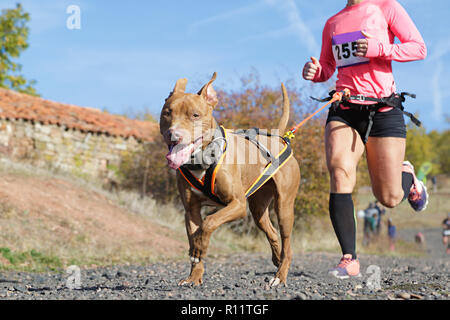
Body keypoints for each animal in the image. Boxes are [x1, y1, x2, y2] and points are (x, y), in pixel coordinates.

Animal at [160, 73, 300, 288]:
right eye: (167, 113)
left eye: (195, 115)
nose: (173, 135)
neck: (201, 159)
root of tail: (277, 137)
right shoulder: (191, 210)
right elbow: (195, 235)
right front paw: (194, 276)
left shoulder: (237, 205)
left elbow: (209, 222)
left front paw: (199, 249)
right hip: (258, 209)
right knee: (272, 232)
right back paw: (277, 259)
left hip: (284, 207)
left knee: (287, 242)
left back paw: (280, 275)